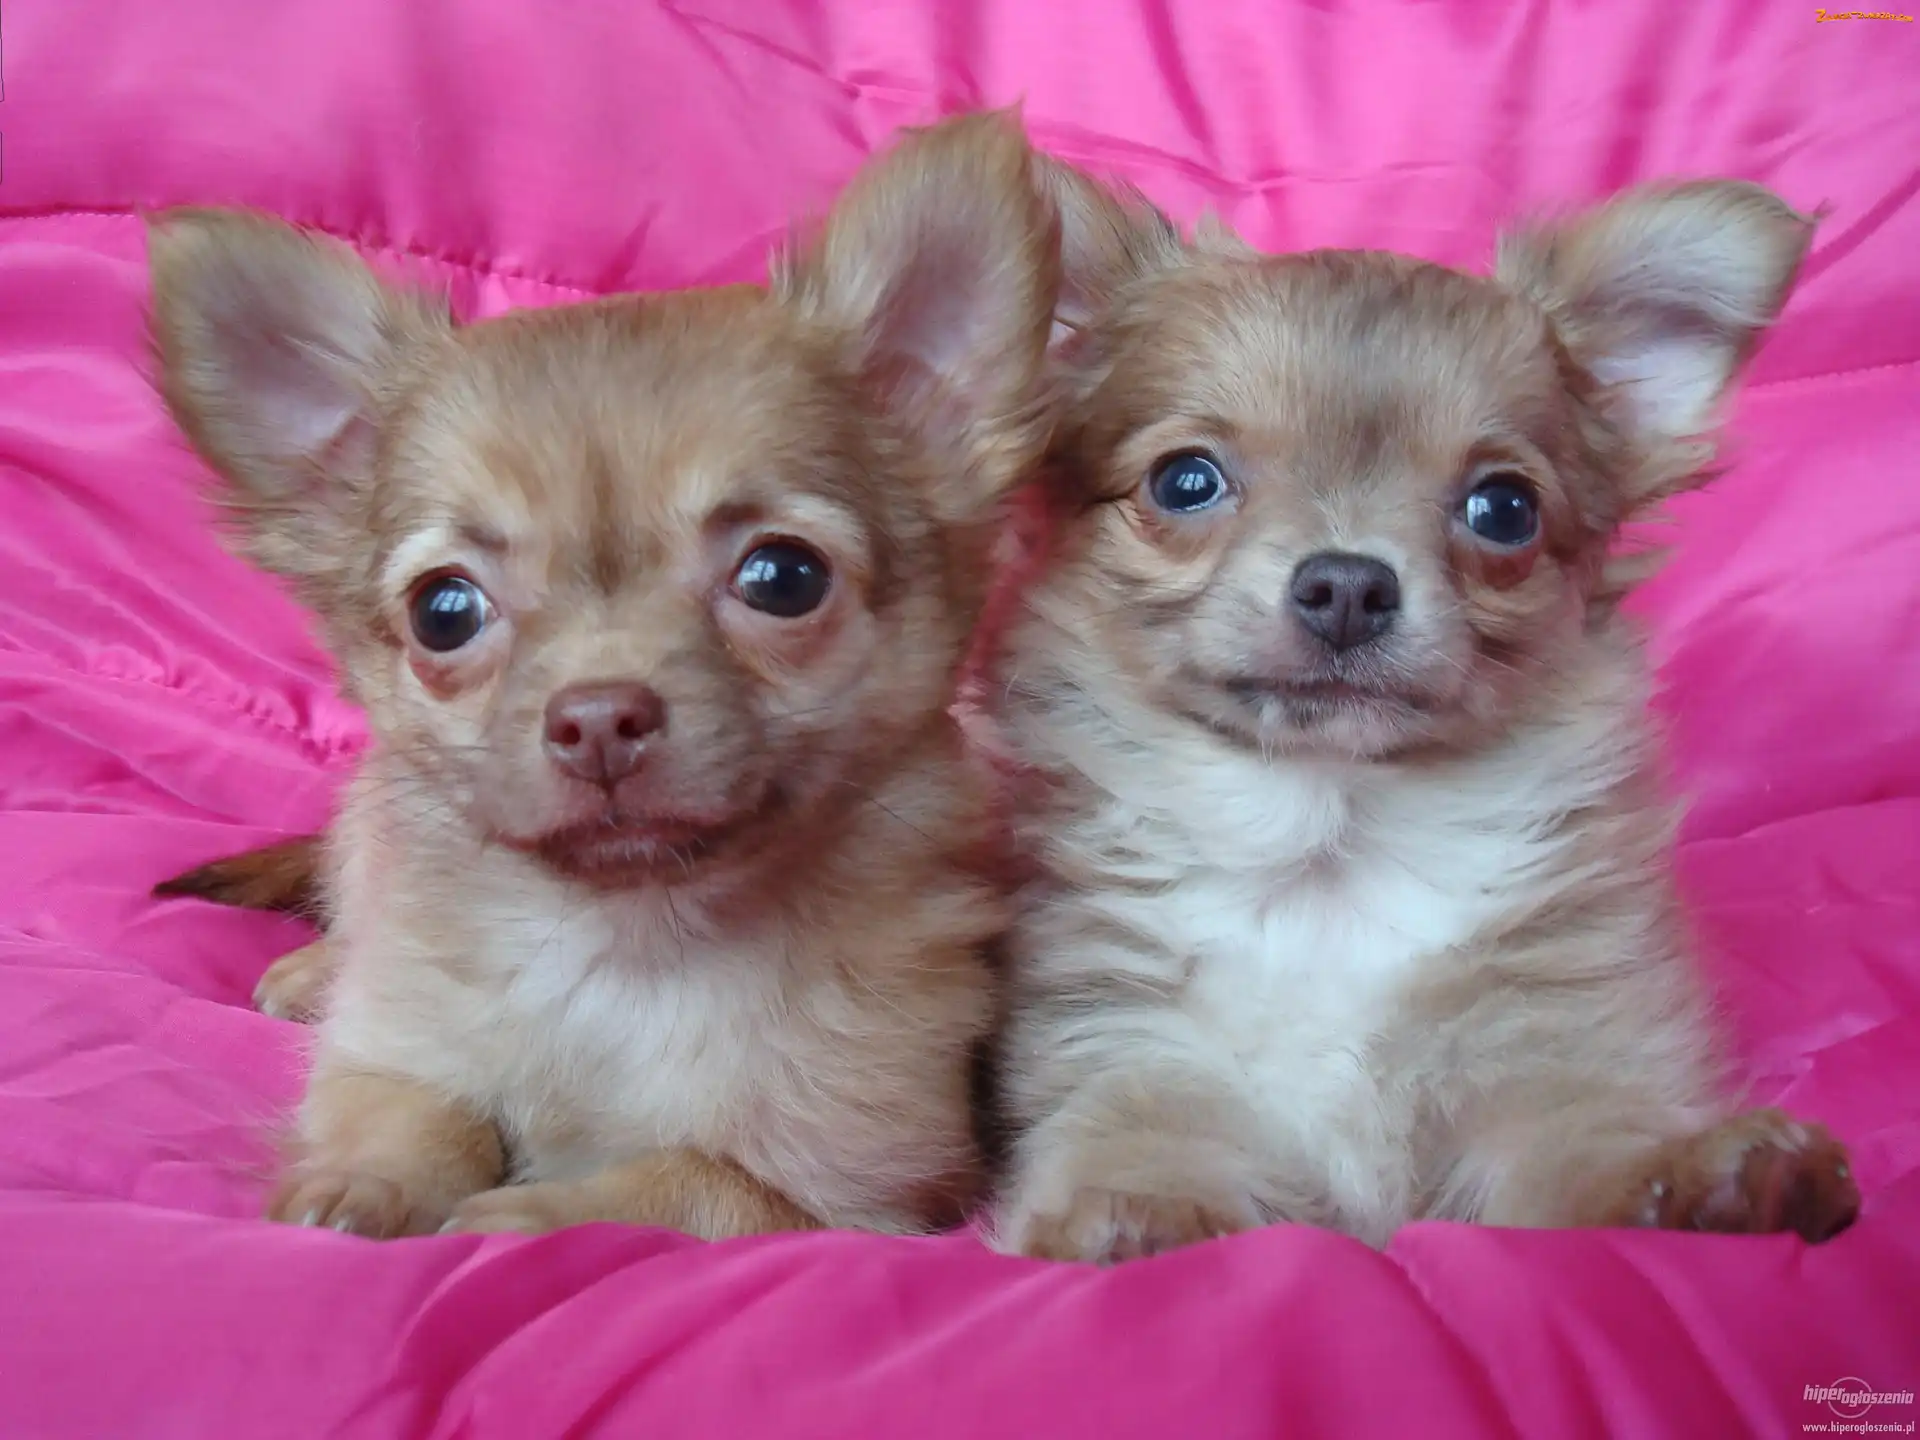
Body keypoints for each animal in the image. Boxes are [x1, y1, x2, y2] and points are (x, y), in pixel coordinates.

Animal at [146, 111, 1058, 1240]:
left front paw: (510, 1218)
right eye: (444, 611)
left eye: (784, 577)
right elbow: (416, 1109)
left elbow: (676, 1182)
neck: (629, 948)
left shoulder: (857, 1189)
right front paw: (361, 1189)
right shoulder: (395, 1055)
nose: (598, 717)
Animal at [988, 160, 1860, 1261]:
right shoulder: (1128, 1043)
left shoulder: (1546, 1053)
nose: (1348, 584)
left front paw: (1711, 1180)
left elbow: (1595, 1154)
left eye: (1505, 510)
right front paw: (1142, 1213)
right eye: (1185, 481)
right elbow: (1141, 1141)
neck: (1330, 850)